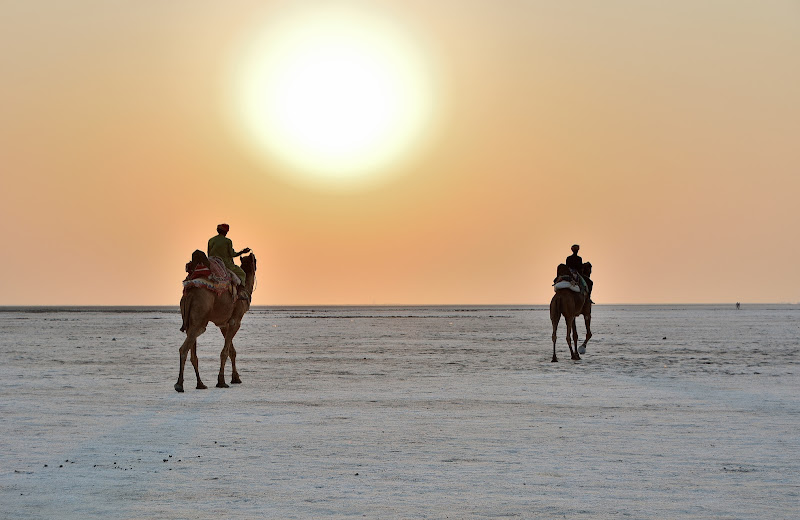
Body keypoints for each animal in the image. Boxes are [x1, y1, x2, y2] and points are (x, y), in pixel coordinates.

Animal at [174, 251, 256, 390]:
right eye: (255, 260)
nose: (253, 255)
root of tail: (190, 293)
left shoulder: (223, 324)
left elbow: (232, 351)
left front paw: (235, 378)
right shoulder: (235, 321)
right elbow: (225, 352)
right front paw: (221, 381)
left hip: (191, 321)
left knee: (193, 353)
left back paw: (200, 384)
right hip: (200, 319)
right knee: (184, 349)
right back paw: (179, 384)